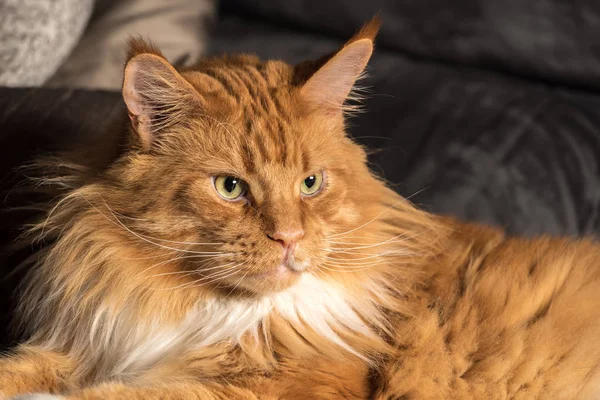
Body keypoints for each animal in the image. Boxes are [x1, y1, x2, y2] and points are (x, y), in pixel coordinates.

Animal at [1, 17, 600, 398]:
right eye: (230, 188)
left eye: (310, 183)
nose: (288, 239)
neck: (209, 311)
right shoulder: (92, 342)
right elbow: (21, 371)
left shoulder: (290, 385)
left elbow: (108, 396)